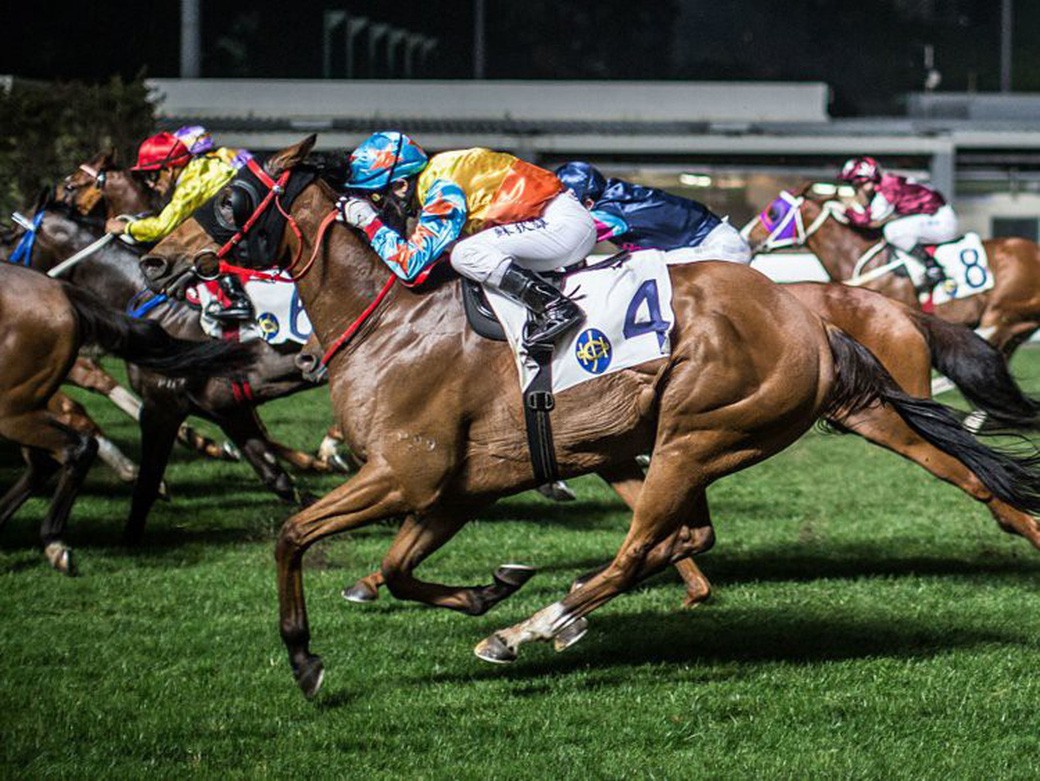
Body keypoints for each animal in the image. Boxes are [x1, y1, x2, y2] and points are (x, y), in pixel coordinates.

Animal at [140, 136, 1040, 694]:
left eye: (231, 199)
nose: (152, 258)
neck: (388, 318)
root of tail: (809, 318)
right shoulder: (450, 490)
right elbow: (395, 569)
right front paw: (488, 584)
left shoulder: (405, 471)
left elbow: (292, 535)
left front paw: (303, 655)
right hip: (764, 427)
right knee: (688, 533)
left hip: (698, 432)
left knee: (642, 544)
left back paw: (533, 628)